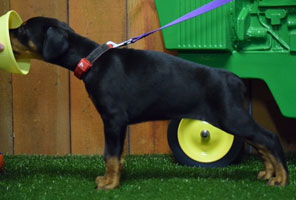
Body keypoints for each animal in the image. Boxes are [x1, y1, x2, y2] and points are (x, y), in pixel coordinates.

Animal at [9, 16, 290, 189]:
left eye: (23, 30)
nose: (8, 29)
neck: (92, 59)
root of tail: (234, 79)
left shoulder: (114, 119)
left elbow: (110, 155)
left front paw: (110, 184)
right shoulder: (114, 123)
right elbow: (115, 156)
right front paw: (113, 178)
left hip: (231, 117)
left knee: (269, 138)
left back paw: (282, 179)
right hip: (231, 118)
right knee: (260, 142)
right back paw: (269, 173)